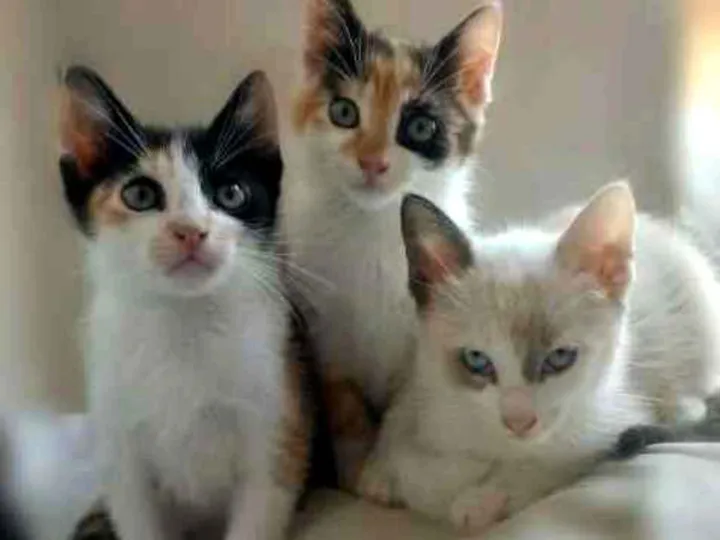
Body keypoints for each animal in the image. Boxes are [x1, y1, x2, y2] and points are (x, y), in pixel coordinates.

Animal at [59, 66, 309, 540]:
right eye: (140, 195)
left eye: (231, 194)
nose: (191, 230)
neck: (182, 321)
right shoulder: (120, 451)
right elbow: (137, 515)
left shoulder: (276, 428)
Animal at [282, 0, 503, 489]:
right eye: (344, 112)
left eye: (420, 126)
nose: (372, 161)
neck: (373, 230)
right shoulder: (325, 333)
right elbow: (344, 404)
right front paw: (357, 473)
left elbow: (408, 407)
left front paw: (384, 470)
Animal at [358, 182, 720, 534]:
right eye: (476, 359)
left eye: (560, 358)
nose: (518, 422)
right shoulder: (423, 376)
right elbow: (401, 421)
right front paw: (380, 470)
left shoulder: (607, 420)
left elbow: (548, 461)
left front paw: (480, 500)